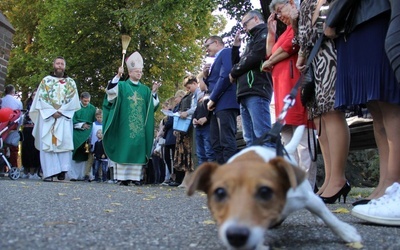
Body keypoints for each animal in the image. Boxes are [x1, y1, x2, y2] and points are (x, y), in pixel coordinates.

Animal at [188, 126, 362, 250]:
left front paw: (347, 233)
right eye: (219, 192)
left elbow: (330, 218)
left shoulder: (307, 198)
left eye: (265, 191)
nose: (236, 236)